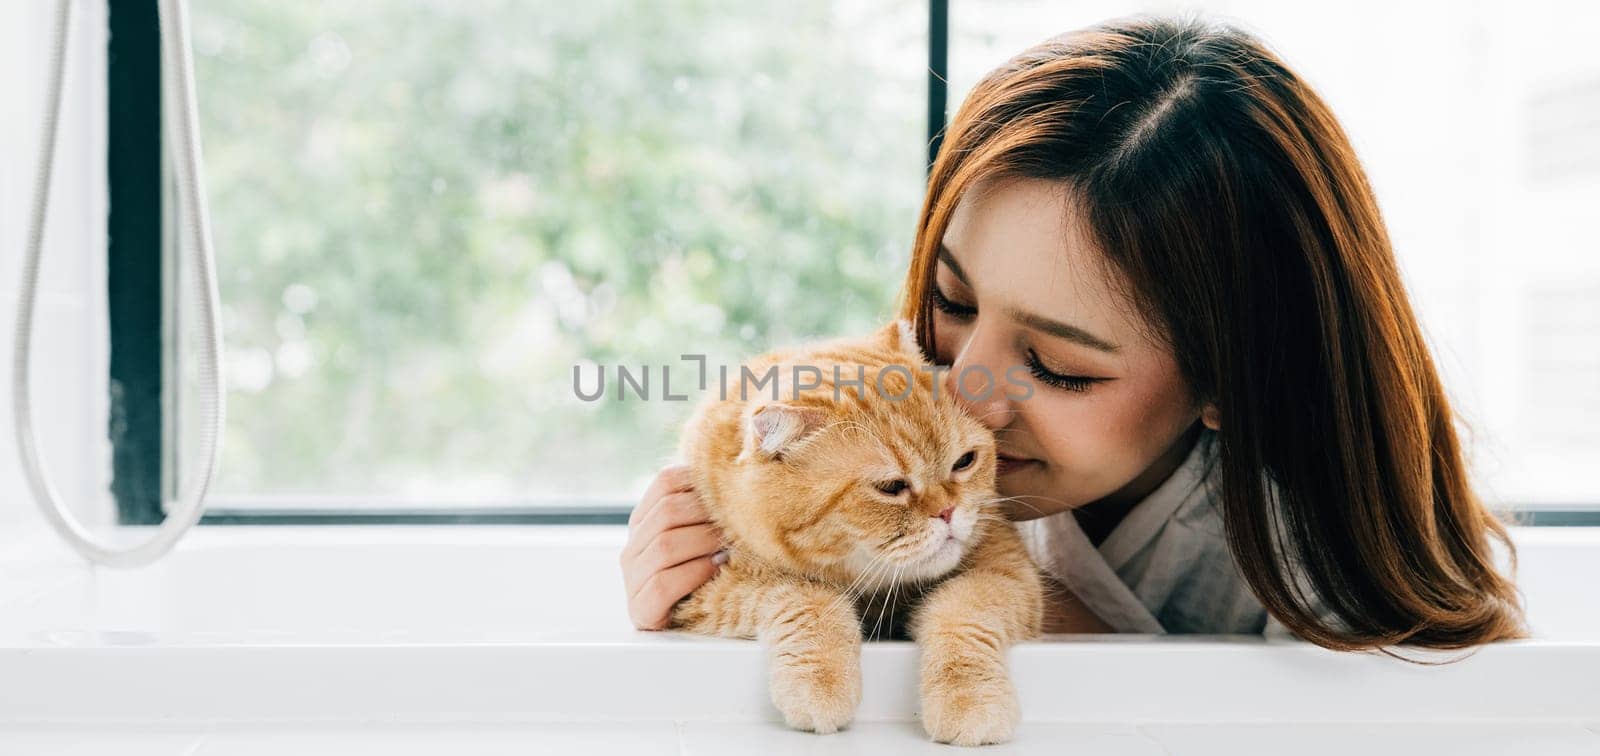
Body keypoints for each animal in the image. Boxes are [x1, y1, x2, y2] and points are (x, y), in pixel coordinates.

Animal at [668, 317, 1043, 743]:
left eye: (964, 461)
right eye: (891, 487)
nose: (948, 512)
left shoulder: (1005, 568)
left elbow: (964, 611)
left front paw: (969, 697)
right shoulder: (712, 588)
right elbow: (807, 596)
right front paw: (822, 682)